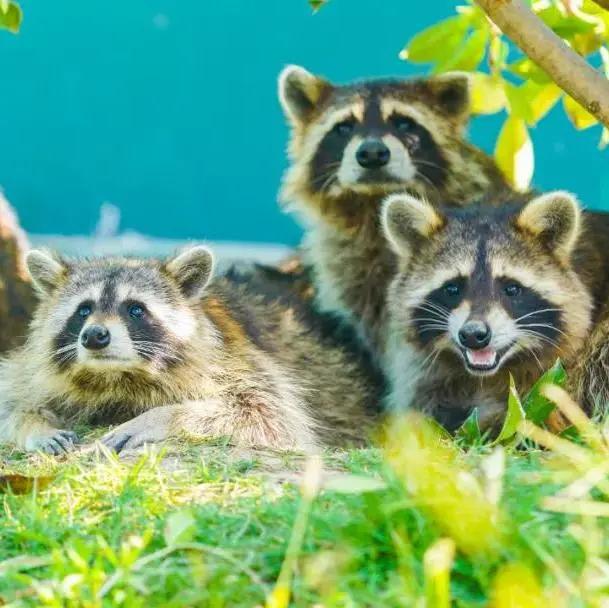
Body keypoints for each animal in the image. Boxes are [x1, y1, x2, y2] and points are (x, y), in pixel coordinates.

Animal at [0, 246, 380, 452]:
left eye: (134, 309)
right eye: (83, 310)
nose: (95, 336)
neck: (117, 378)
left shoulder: (238, 361)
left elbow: (267, 415)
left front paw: (162, 417)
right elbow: (11, 397)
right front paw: (33, 425)